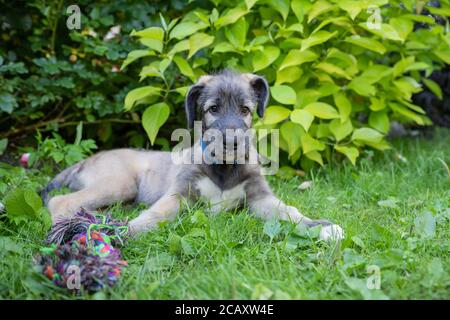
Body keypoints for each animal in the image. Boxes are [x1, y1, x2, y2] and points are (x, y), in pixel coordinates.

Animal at [43, 70, 344, 240]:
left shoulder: (260, 198)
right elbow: (156, 214)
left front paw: (320, 226)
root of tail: (87, 159)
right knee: (61, 201)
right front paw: (122, 233)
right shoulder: (180, 194)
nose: (232, 142)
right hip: (119, 182)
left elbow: (289, 211)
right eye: (213, 109)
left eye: (245, 110)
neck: (224, 169)